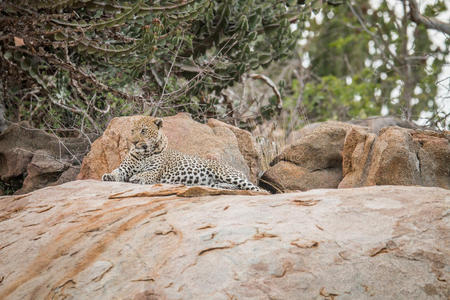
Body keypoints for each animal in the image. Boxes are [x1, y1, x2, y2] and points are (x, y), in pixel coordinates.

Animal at [102, 116, 262, 191]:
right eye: (132, 131)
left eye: (143, 131)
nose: (134, 142)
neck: (144, 153)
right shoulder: (124, 169)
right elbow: (116, 172)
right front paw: (108, 176)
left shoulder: (154, 172)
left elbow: (145, 174)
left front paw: (136, 177)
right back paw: (220, 186)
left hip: (225, 173)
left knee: (255, 188)